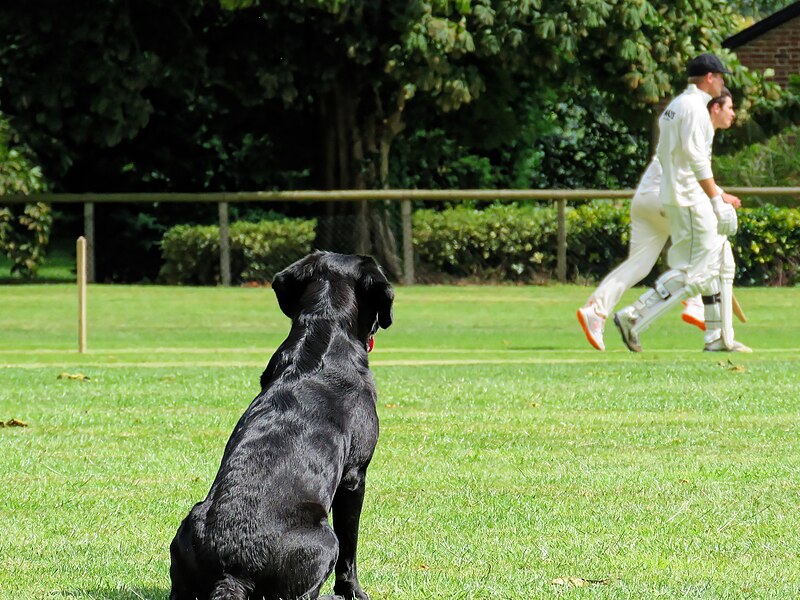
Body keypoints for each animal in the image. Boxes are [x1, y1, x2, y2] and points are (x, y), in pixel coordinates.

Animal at [170, 251, 394, 596]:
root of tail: (233, 573)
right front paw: (353, 591)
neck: (324, 333)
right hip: (324, 540)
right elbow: (350, 549)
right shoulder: (354, 475)